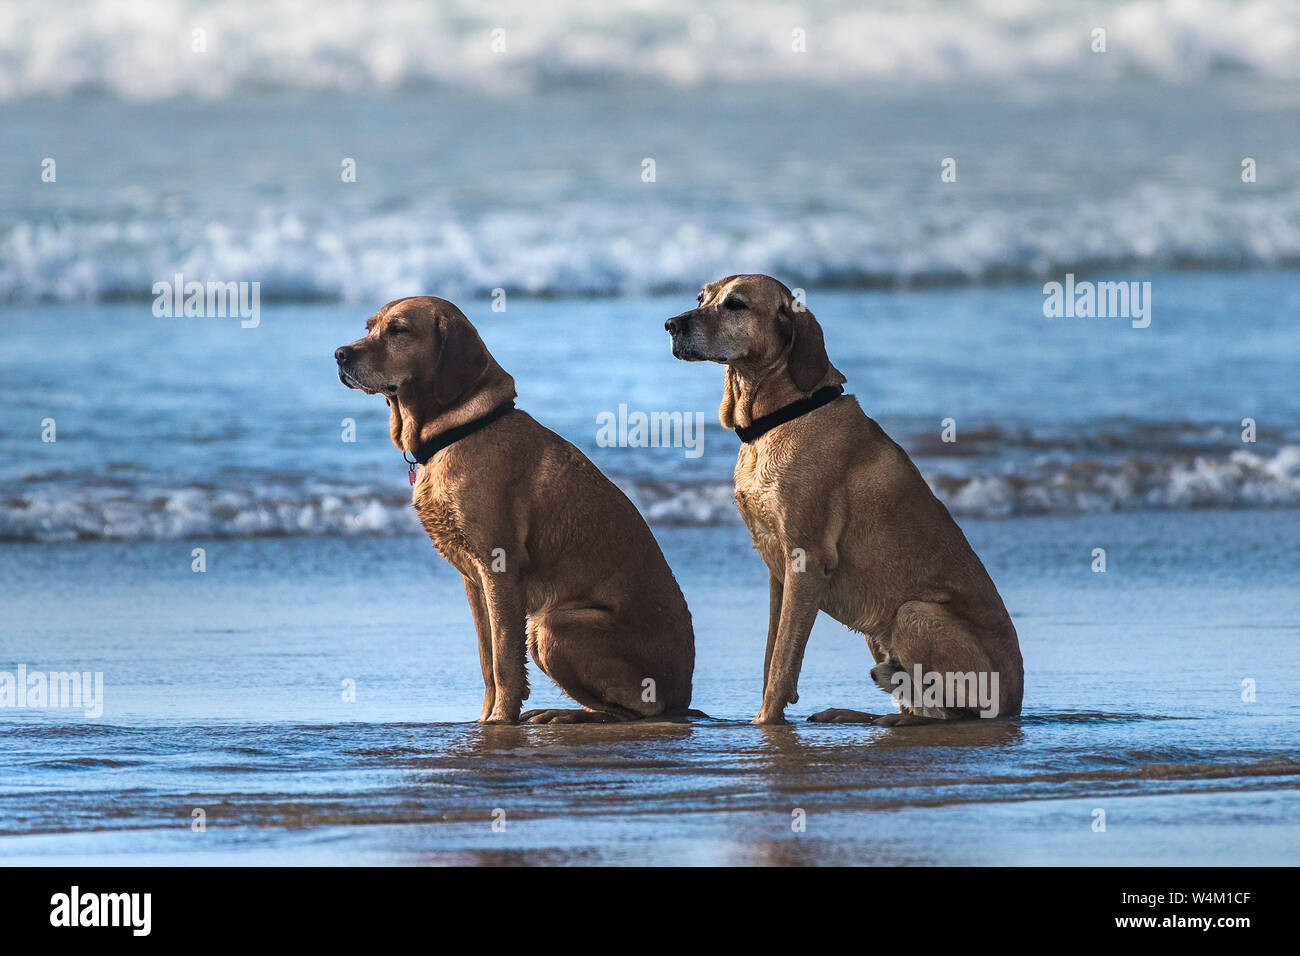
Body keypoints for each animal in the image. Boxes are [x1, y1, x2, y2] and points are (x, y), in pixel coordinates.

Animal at [338, 295, 702, 723]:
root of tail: (684, 694)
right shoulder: (474, 581)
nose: (340, 354)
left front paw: (499, 722)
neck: (461, 429)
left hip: (553, 625)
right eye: (368, 327)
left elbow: (505, 663)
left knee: (639, 710)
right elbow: (487, 660)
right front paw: (484, 718)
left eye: (398, 330)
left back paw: (569, 716)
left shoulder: (500, 570)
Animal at [670, 274, 1024, 723]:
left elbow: (783, 660)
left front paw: (765, 723)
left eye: (735, 304)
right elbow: (771, 654)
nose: (671, 325)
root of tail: (1016, 703)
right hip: (880, 630)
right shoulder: (777, 573)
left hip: (912, 613)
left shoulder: (805, 561)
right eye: (701, 297)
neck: (785, 414)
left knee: (953, 715)